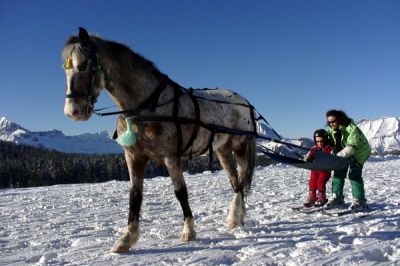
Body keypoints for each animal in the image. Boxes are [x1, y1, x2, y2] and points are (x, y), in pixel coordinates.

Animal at [62, 27, 256, 254]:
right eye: (65, 70)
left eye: (83, 66)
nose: (72, 111)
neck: (146, 107)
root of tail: (244, 102)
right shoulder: (133, 157)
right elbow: (135, 196)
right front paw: (126, 238)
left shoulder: (170, 157)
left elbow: (181, 192)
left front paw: (188, 231)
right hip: (222, 149)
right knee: (235, 181)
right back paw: (236, 218)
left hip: (240, 145)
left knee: (241, 178)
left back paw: (236, 217)